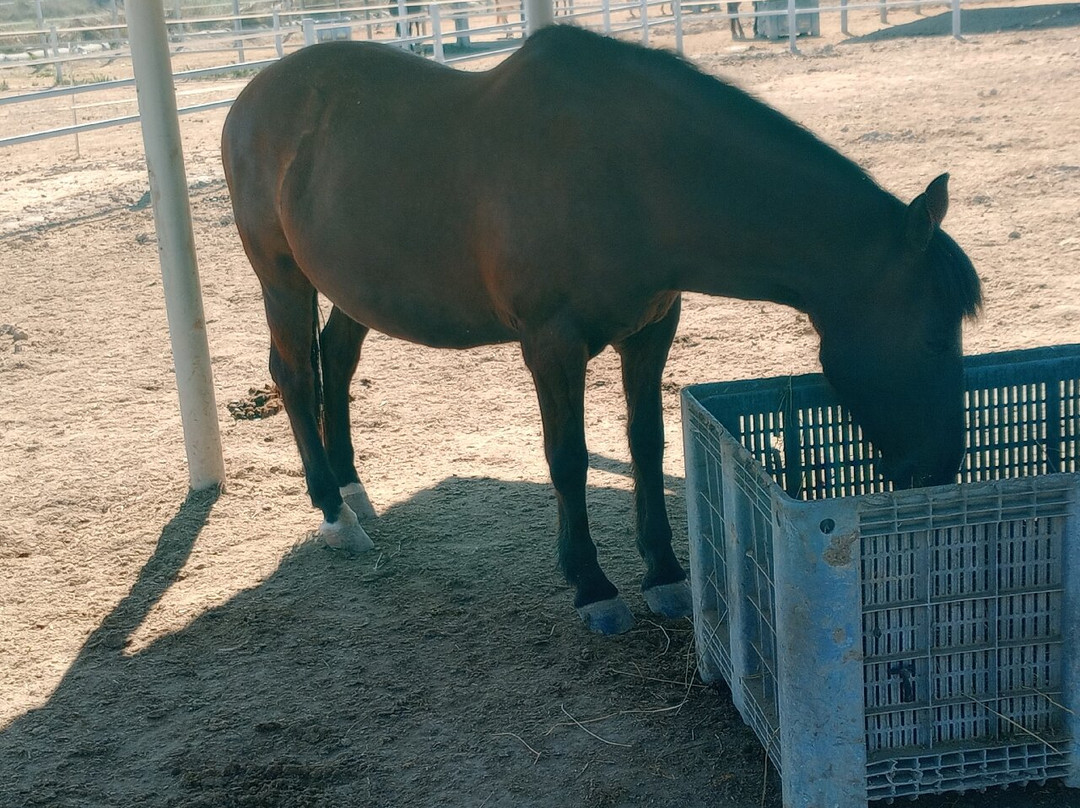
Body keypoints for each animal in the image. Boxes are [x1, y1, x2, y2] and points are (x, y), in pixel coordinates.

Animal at [221, 25, 981, 636]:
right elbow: (569, 458)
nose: (940, 471)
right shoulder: (551, 347)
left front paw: (665, 574)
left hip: (354, 289)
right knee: (294, 373)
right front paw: (592, 586)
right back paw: (333, 513)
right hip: (282, 278)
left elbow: (646, 444)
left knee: (336, 361)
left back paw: (352, 487)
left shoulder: (651, 330)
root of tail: (253, 96)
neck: (633, 172)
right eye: (934, 336)